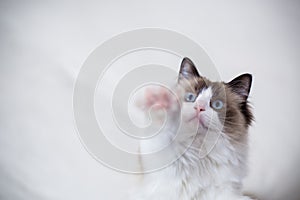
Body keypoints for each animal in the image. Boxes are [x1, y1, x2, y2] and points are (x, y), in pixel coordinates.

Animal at [132, 57, 254, 199]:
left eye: (217, 104)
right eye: (190, 97)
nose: (199, 107)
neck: (199, 154)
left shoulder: (227, 192)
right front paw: (160, 102)